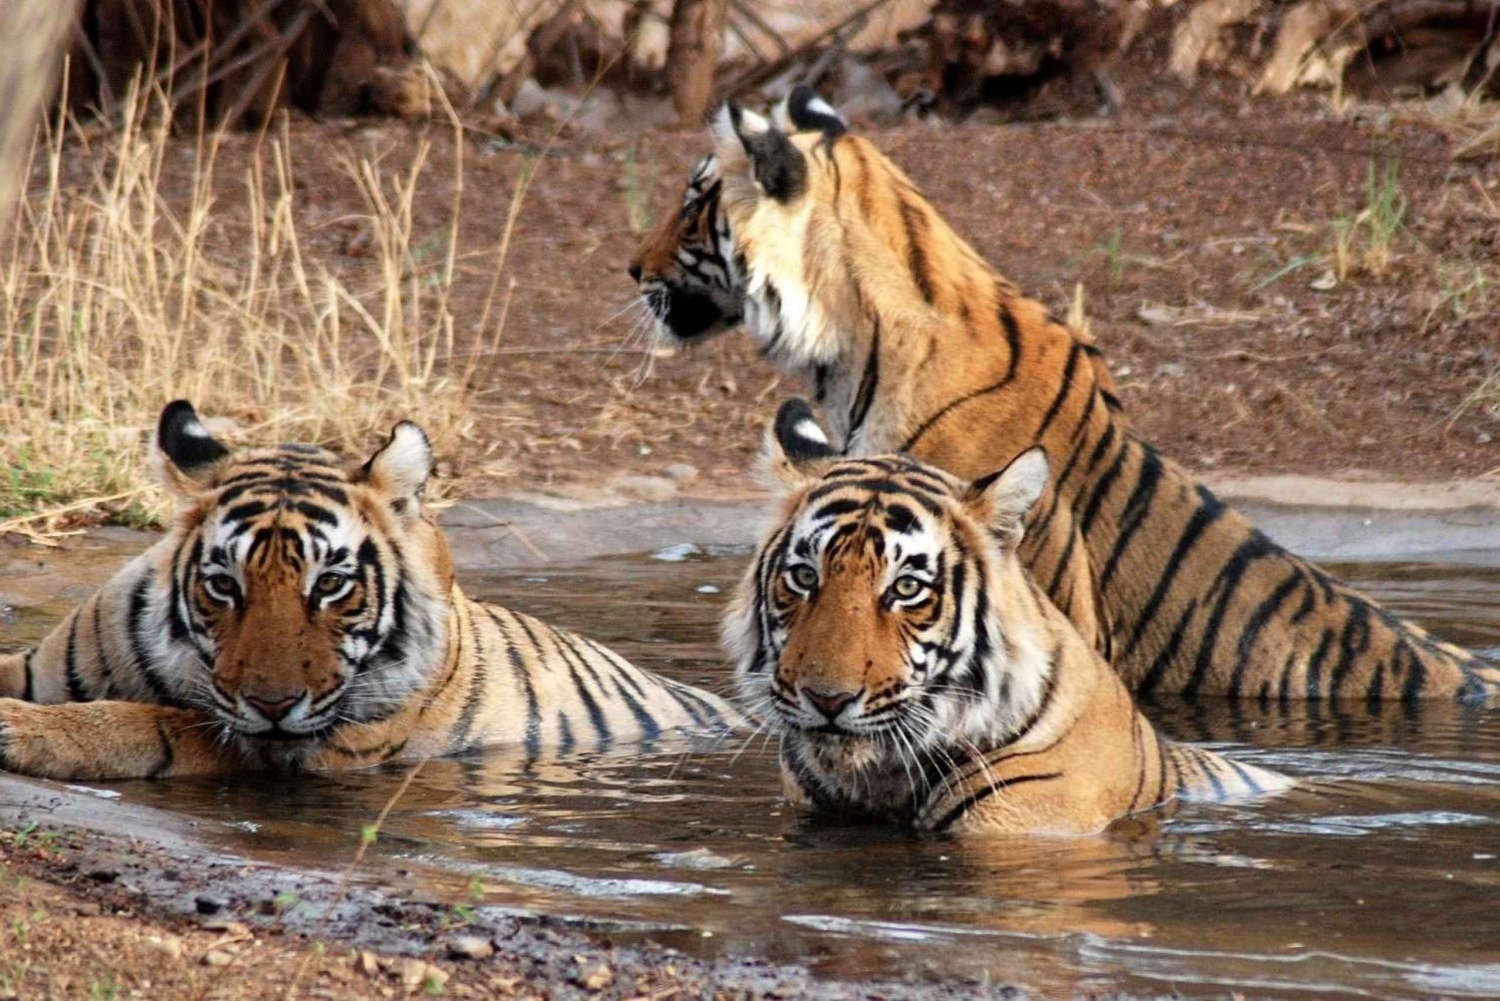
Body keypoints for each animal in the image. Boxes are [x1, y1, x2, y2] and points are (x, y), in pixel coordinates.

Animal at [0, 402, 738, 780]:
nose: (273, 704)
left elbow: (151, 721)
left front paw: (22, 729)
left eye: (330, 584)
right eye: (224, 585)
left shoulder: (301, 745)